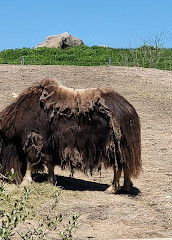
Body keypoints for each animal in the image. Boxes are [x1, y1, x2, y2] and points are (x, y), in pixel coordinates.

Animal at [0, 79, 141, 193]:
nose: (4, 176)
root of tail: (129, 109)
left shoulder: (34, 140)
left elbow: (31, 161)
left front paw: (25, 181)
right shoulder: (50, 145)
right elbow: (49, 163)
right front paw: (51, 180)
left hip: (115, 147)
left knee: (119, 167)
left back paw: (112, 188)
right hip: (124, 148)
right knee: (126, 167)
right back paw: (126, 187)